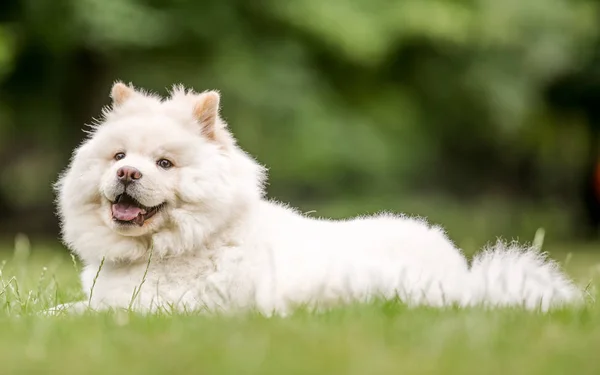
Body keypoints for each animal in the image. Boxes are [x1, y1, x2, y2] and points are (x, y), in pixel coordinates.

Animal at [50, 83, 580, 316]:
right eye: (119, 155)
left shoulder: (173, 307)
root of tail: (468, 281)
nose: (127, 172)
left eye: (164, 163)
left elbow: (93, 312)